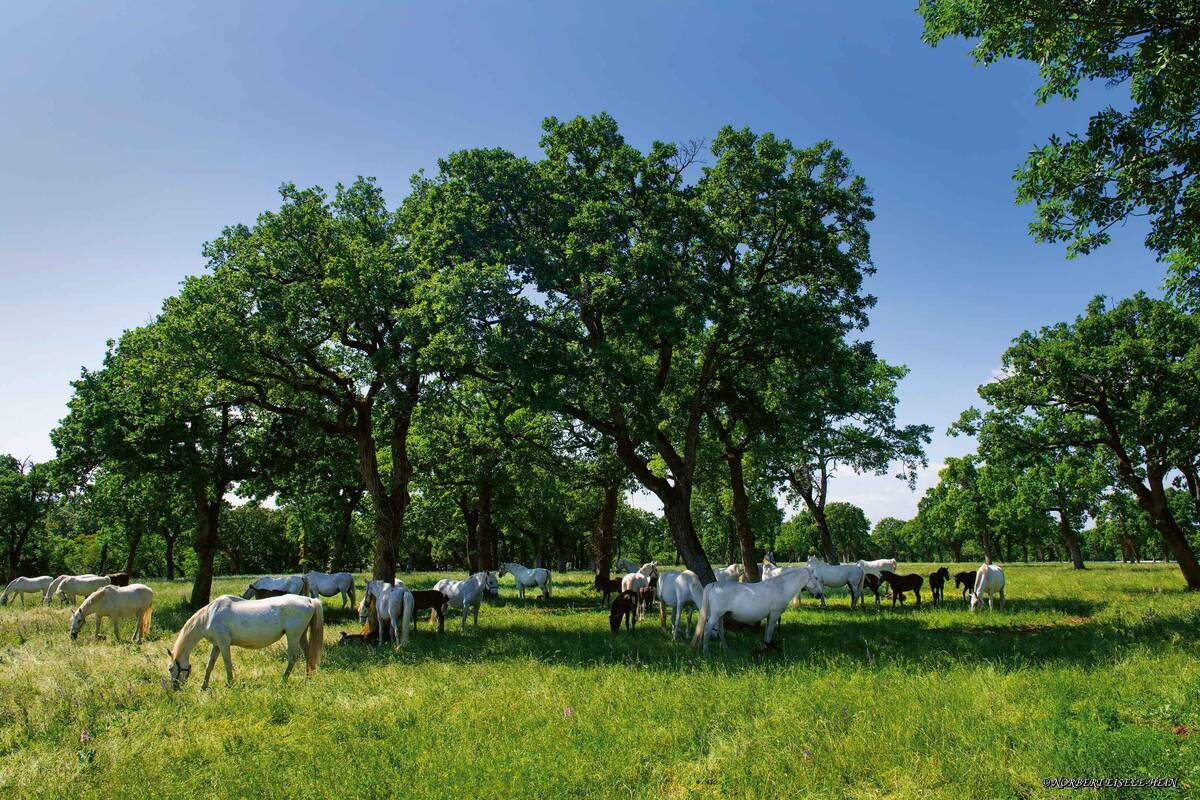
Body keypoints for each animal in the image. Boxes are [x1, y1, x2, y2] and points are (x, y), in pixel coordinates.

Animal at [165, 592, 324, 690]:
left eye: (171, 668)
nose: (174, 688)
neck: (209, 616)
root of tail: (309, 600)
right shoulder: (217, 645)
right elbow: (210, 665)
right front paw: (203, 687)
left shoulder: (223, 644)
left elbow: (227, 664)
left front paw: (230, 684)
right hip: (301, 636)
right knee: (308, 656)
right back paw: (308, 680)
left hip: (293, 636)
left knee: (292, 658)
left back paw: (283, 681)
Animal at [696, 566, 825, 652]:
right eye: (816, 578)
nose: (820, 594)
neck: (781, 587)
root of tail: (714, 585)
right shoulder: (774, 614)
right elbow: (770, 632)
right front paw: (768, 648)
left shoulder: (769, 615)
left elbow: (767, 632)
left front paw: (765, 646)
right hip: (715, 615)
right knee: (707, 630)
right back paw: (706, 652)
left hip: (721, 616)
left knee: (721, 631)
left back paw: (727, 650)